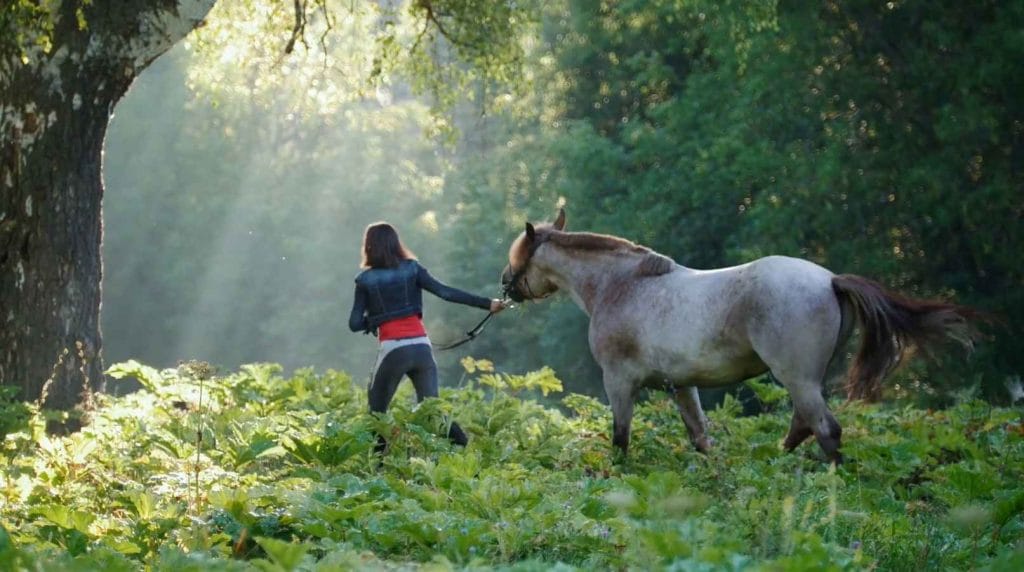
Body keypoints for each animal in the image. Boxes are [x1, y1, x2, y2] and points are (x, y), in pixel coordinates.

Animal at [500, 209, 980, 463]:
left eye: (519, 255)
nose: (506, 285)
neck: (620, 285)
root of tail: (829, 280)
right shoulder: (682, 386)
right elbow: (700, 436)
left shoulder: (619, 382)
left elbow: (620, 438)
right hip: (806, 382)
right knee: (803, 426)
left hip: (797, 379)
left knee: (825, 429)